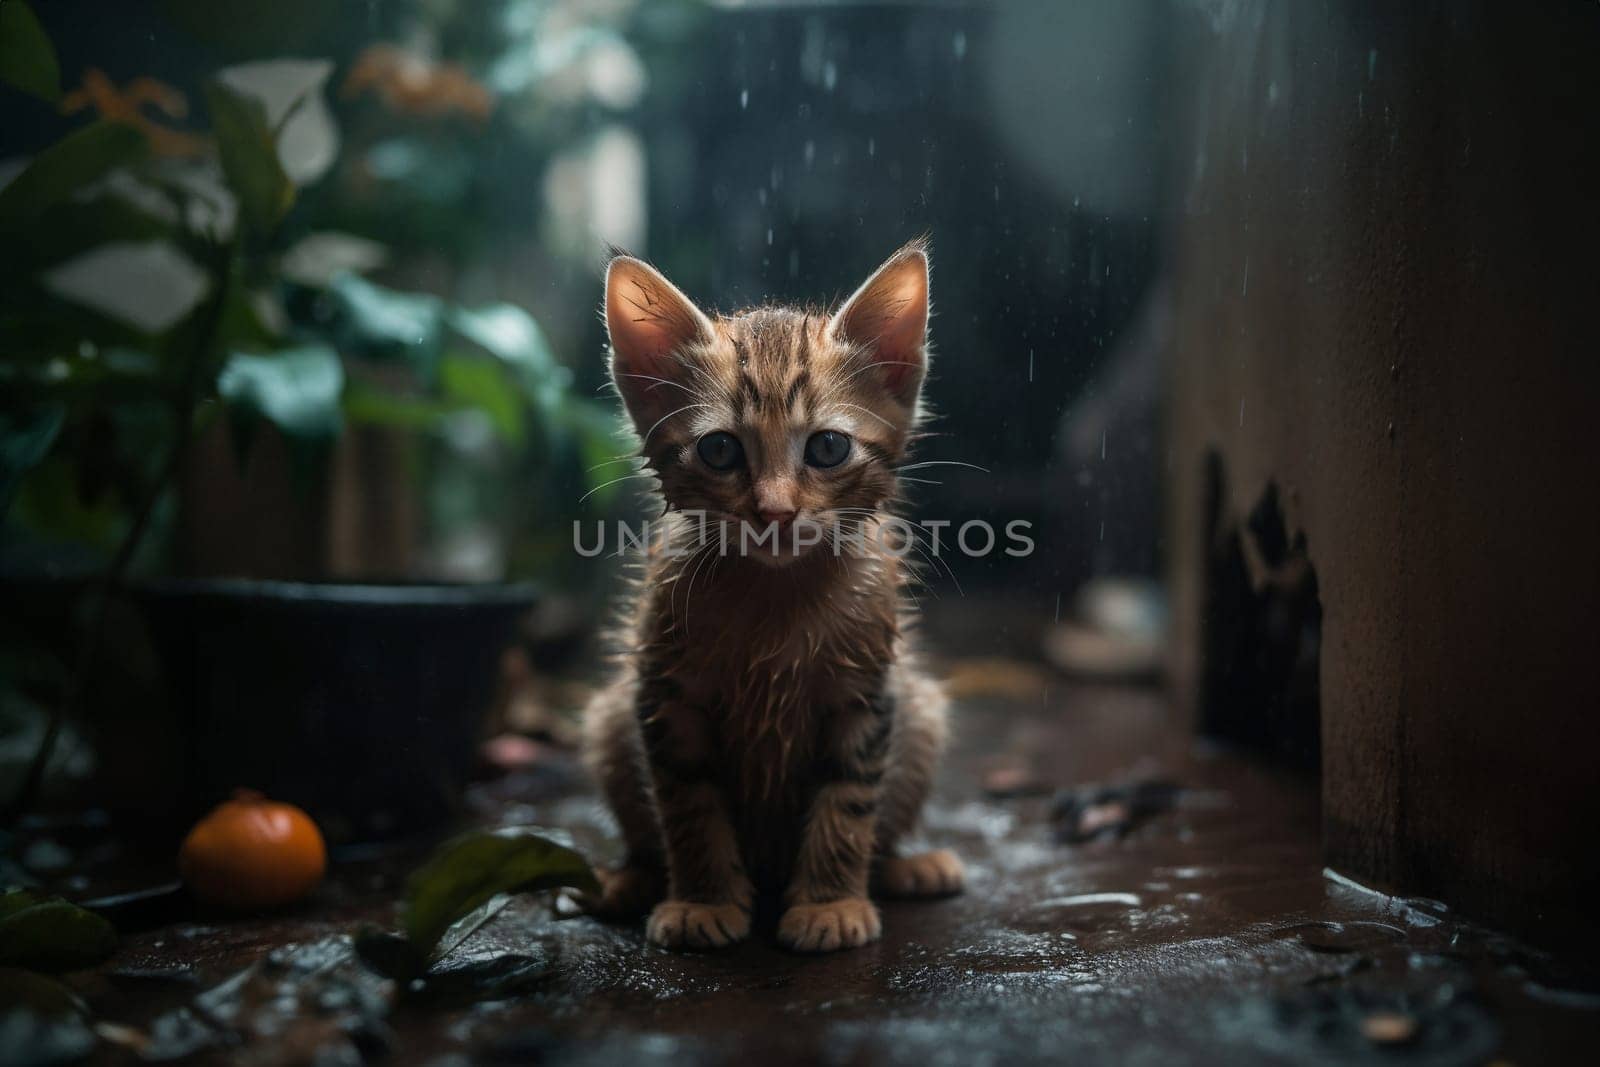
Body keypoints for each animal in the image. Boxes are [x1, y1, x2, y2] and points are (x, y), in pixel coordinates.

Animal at [585, 239, 960, 953]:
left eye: (829, 447)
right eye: (720, 450)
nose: (776, 512)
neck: (775, 594)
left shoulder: (868, 695)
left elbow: (849, 799)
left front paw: (829, 902)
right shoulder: (664, 696)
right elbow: (687, 804)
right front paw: (702, 900)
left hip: (922, 710)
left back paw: (906, 866)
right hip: (609, 716)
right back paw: (628, 878)